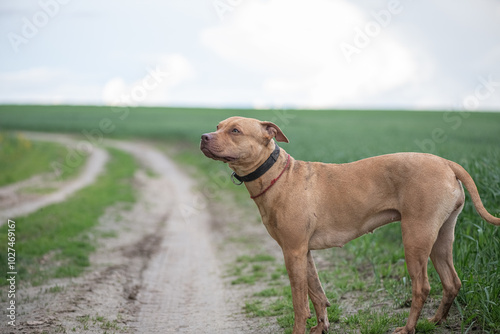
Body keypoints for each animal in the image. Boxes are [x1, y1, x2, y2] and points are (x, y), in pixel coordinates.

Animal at [200, 116, 500, 332]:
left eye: (235, 130)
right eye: (217, 127)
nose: (203, 137)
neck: (276, 175)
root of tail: (447, 163)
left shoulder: (292, 252)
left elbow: (299, 303)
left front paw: (301, 328)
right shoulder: (302, 252)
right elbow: (317, 293)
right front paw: (321, 326)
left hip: (416, 237)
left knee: (422, 287)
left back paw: (408, 328)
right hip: (441, 238)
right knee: (451, 282)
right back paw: (435, 322)